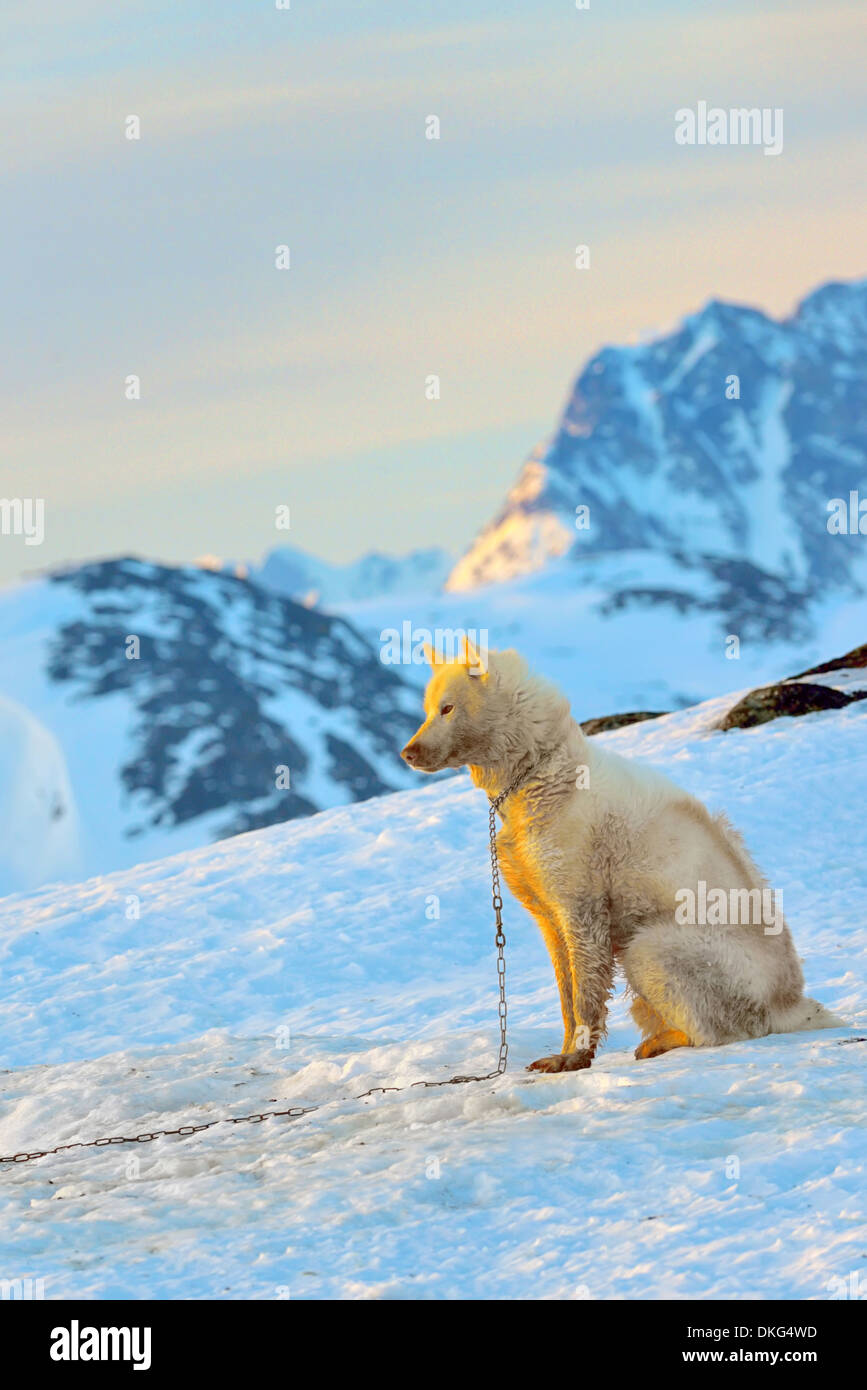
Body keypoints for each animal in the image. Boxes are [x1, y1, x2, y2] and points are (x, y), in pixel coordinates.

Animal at [400, 639, 839, 1073]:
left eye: (448, 708)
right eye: (428, 708)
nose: (408, 753)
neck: (540, 772)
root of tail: (789, 1002)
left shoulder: (582, 900)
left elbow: (585, 985)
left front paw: (574, 1057)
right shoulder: (546, 908)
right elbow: (565, 989)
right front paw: (564, 1049)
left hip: (663, 947)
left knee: (717, 1026)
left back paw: (665, 1041)